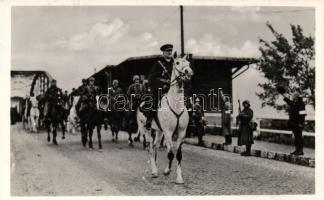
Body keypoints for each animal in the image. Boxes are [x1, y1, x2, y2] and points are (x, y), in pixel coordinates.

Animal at [137, 54, 192, 184]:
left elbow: (178, 154)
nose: (188, 72)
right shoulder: (168, 132)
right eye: (177, 63)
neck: (176, 105)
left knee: (155, 146)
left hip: (158, 131)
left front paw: (179, 177)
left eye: (188, 63)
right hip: (146, 130)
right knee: (150, 147)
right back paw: (154, 171)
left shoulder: (181, 133)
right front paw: (167, 171)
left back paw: (156, 168)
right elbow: (170, 153)